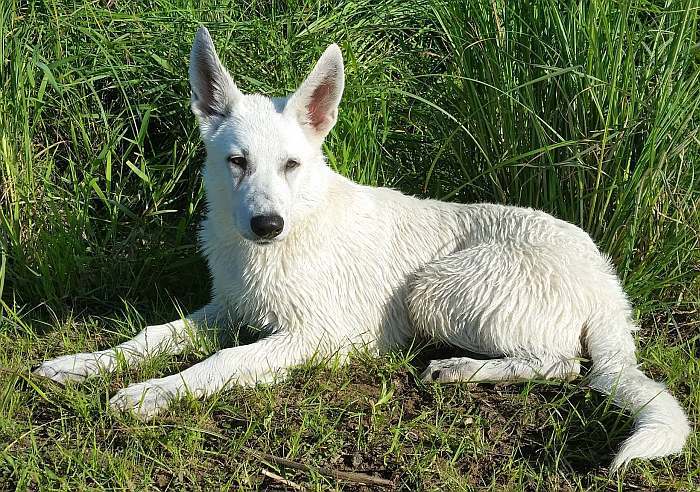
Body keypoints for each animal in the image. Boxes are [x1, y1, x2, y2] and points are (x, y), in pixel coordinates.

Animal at [34, 26, 688, 468]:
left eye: (292, 165)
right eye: (237, 162)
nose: (266, 224)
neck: (284, 240)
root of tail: (607, 282)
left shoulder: (312, 337)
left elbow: (222, 363)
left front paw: (150, 393)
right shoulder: (225, 310)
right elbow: (150, 337)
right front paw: (83, 364)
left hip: (434, 289)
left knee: (564, 363)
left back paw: (461, 368)